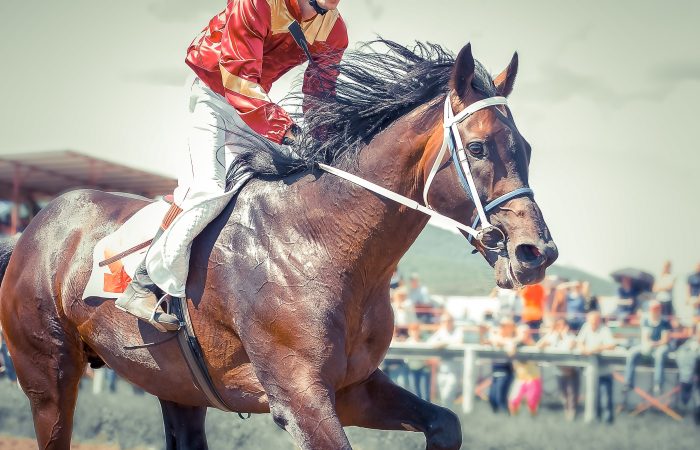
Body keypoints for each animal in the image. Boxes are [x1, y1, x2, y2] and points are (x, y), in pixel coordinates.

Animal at [0, 40, 556, 448]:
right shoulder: (298, 396)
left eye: (527, 148)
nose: (536, 252)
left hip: (173, 384)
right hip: (48, 376)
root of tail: (33, 230)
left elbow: (446, 423)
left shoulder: (352, 388)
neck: (321, 242)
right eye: (478, 147)